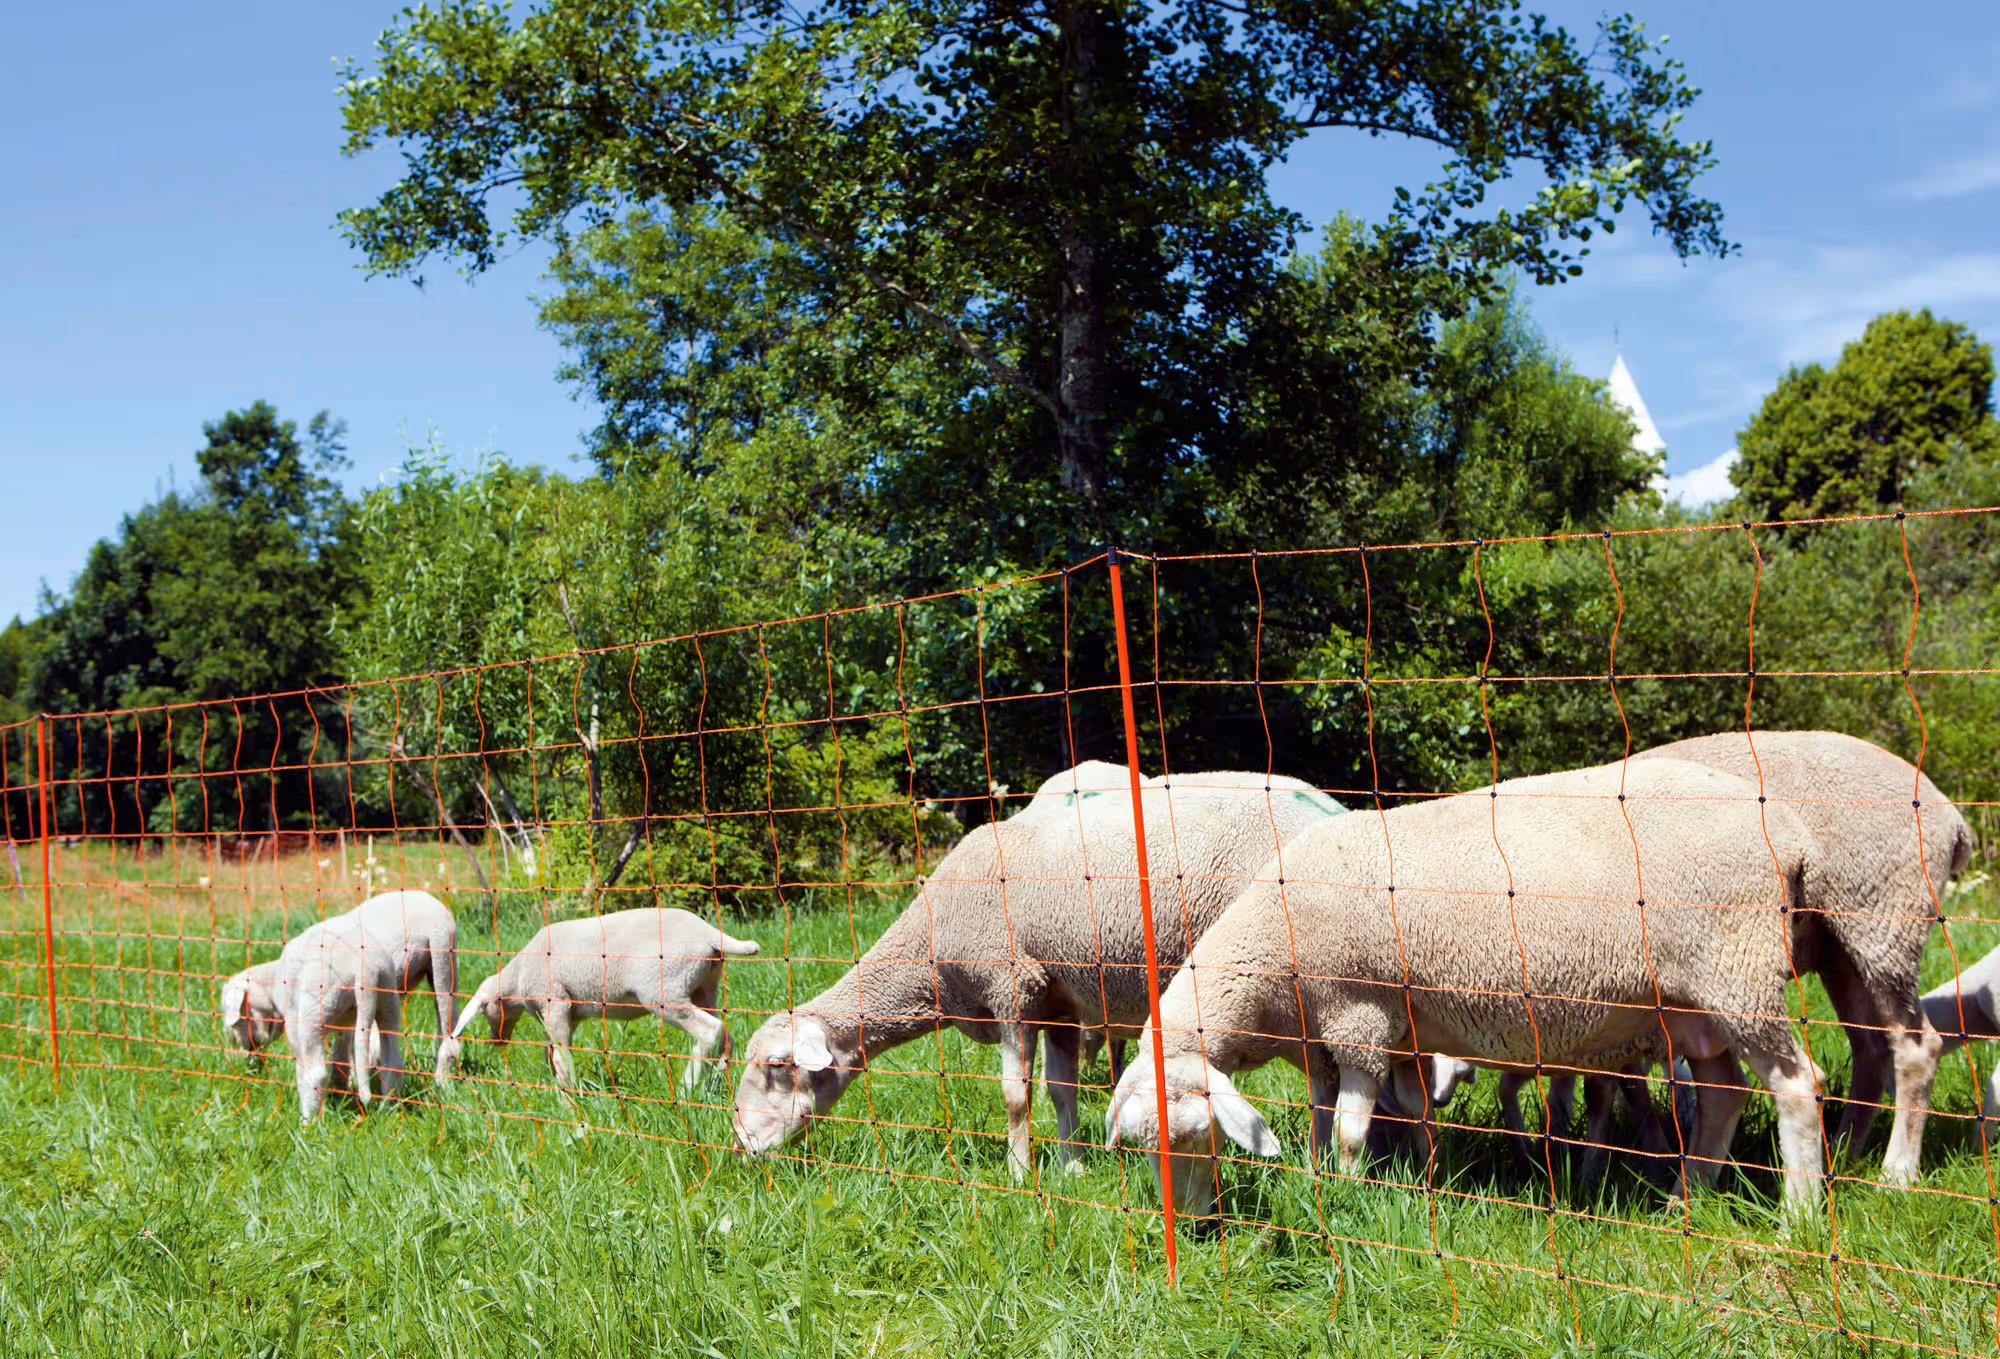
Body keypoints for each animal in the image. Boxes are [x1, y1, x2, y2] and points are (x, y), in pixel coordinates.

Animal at [451, 907, 760, 1090]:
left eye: (486, 1009)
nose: (496, 1040)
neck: (517, 977)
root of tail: (710, 934)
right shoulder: (570, 1012)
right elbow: (554, 1050)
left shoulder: (556, 1002)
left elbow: (561, 1053)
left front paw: (569, 1092)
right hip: (704, 986)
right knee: (725, 1034)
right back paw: (717, 1078)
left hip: (663, 990)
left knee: (709, 1031)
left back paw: (687, 1086)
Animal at [731, 763, 1346, 1177]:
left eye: (777, 1067)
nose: (740, 1146)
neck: (931, 955)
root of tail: (1333, 807)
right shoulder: (1061, 1004)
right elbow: (1059, 1089)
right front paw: (1072, 1166)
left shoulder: (1014, 989)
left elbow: (1014, 1094)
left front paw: (1020, 1173)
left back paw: (1322, 1167)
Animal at [1105, 758, 1831, 1222]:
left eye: (1198, 1137)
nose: (1193, 1228)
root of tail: (1793, 834)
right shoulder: (1347, 1038)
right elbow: (1350, 1118)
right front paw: (1401, 1176)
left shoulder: (1361, 1017)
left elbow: (1349, 1131)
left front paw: (1346, 1194)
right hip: (1690, 1002)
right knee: (1725, 1090)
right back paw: (1688, 1195)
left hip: (1737, 964)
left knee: (1797, 1085)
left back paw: (1798, 1215)